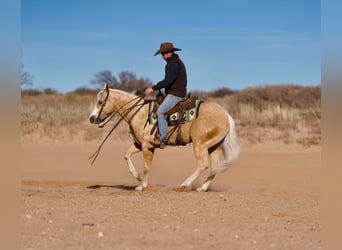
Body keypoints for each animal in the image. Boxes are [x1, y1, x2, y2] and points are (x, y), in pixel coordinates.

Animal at [88, 84, 240, 191]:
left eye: (102, 102)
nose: (92, 118)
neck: (139, 113)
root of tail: (226, 114)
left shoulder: (147, 146)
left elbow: (146, 166)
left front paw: (142, 186)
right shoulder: (139, 145)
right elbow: (126, 155)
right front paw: (138, 177)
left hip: (200, 145)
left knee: (203, 165)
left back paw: (183, 185)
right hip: (214, 146)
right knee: (214, 167)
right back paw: (202, 188)